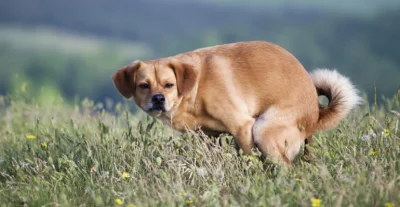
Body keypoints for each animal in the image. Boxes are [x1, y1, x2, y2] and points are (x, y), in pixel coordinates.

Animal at [111, 40, 360, 168]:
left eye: (169, 85)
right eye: (144, 85)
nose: (158, 98)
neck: (195, 87)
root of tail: (316, 115)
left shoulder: (243, 126)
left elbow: (249, 156)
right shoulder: (208, 136)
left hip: (263, 129)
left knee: (285, 166)